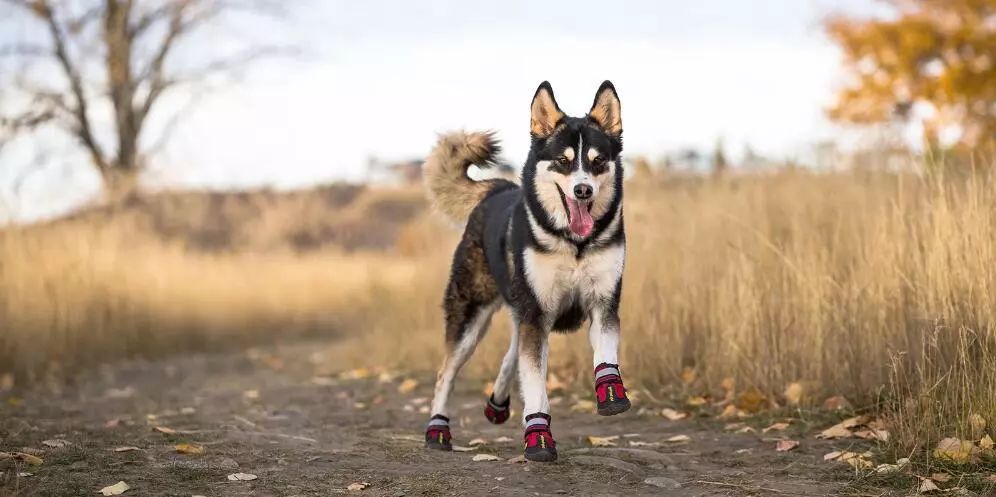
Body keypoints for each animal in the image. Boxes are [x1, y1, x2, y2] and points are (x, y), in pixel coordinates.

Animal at [422, 80, 628, 462]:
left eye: (597, 161)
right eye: (563, 161)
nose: (583, 190)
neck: (573, 243)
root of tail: (499, 186)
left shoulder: (603, 302)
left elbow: (605, 354)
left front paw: (611, 392)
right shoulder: (536, 312)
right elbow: (533, 380)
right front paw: (539, 437)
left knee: (512, 351)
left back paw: (497, 402)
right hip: (472, 318)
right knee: (447, 372)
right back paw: (437, 429)